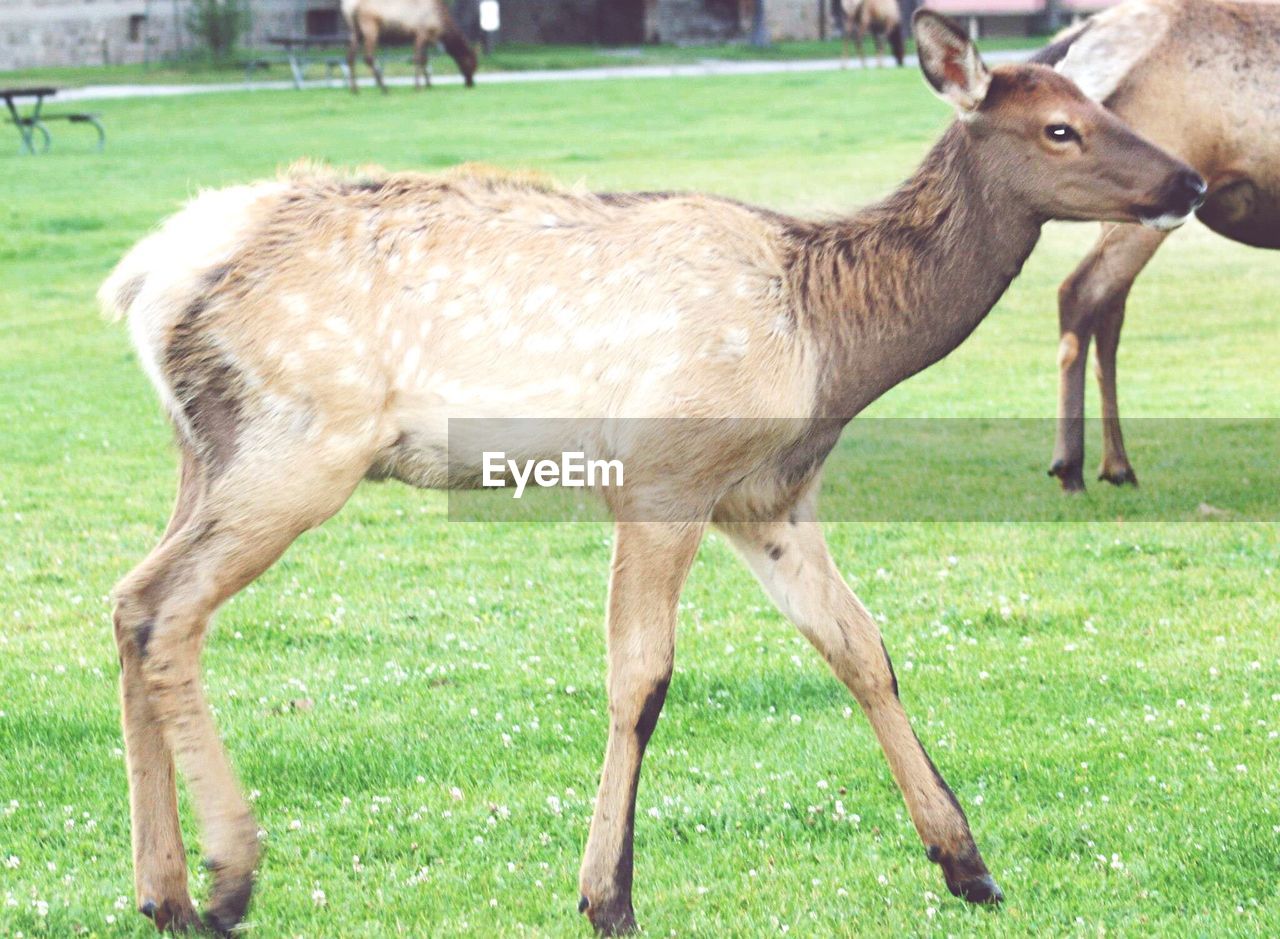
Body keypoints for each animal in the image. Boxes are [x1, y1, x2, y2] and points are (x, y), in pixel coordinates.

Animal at [97, 11, 1198, 936]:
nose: (1187, 182)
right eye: (1061, 128)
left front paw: (966, 862)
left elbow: (862, 649)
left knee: (129, 601)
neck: (829, 344)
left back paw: (162, 889)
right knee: (167, 608)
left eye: (1103, 104)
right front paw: (607, 894)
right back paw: (230, 877)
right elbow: (642, 678)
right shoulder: (664, 475)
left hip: (204, 452)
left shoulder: (765, 501)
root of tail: (146, 280)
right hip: (300, 440)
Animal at [343, 0, 478, 92]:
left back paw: (355, 89)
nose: (471, 83)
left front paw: (429, 84)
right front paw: (418, 86)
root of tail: (352, 8)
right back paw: (384, 88)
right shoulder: (420, 34)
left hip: (355, 31)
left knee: (350, 57)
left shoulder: (425, 38)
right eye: (472, 63)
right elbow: (418, 59)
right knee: (368, 57)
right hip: (370, 28)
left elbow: (424, 60)